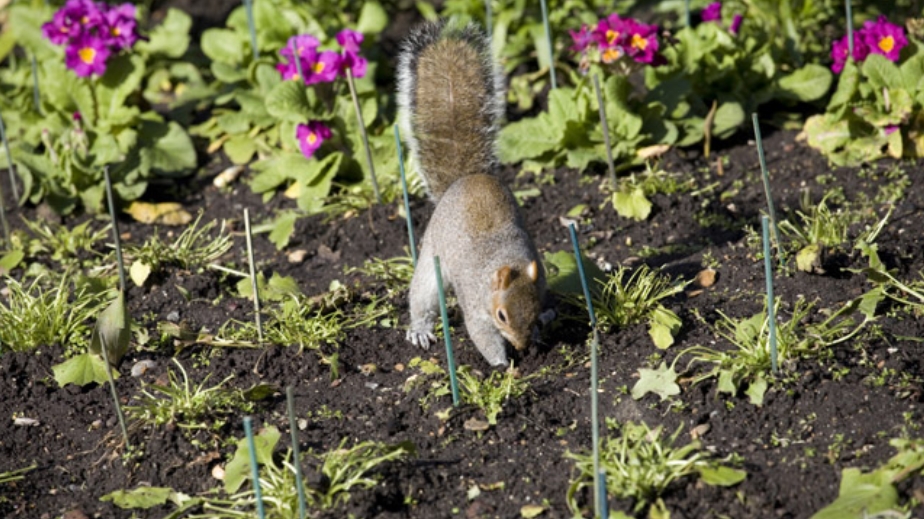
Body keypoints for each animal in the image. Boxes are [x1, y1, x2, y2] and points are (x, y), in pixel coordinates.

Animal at [396, 21, 552, 370]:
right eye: (501, 315)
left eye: (534, 308)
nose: (521, 346)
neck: (505, 260)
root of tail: (465, 179)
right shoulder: (475, 303)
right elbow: (482, 336)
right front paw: (502, 364)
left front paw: (538, 335)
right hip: (431, 262)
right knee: (422, 297)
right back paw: (420, 330)